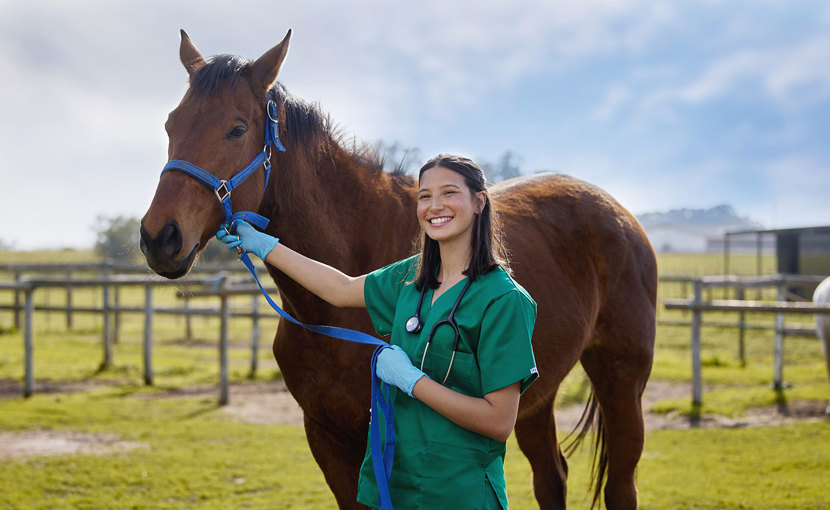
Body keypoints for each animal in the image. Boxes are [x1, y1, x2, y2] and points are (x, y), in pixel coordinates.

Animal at [140, 30, 657, 510]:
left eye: (236, 129)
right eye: (170, 124)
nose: (159, 237)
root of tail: (619, 215)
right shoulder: (327, 437)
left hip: (621, 382)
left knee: (621, 485)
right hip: (535, 398)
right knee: (552, 476)